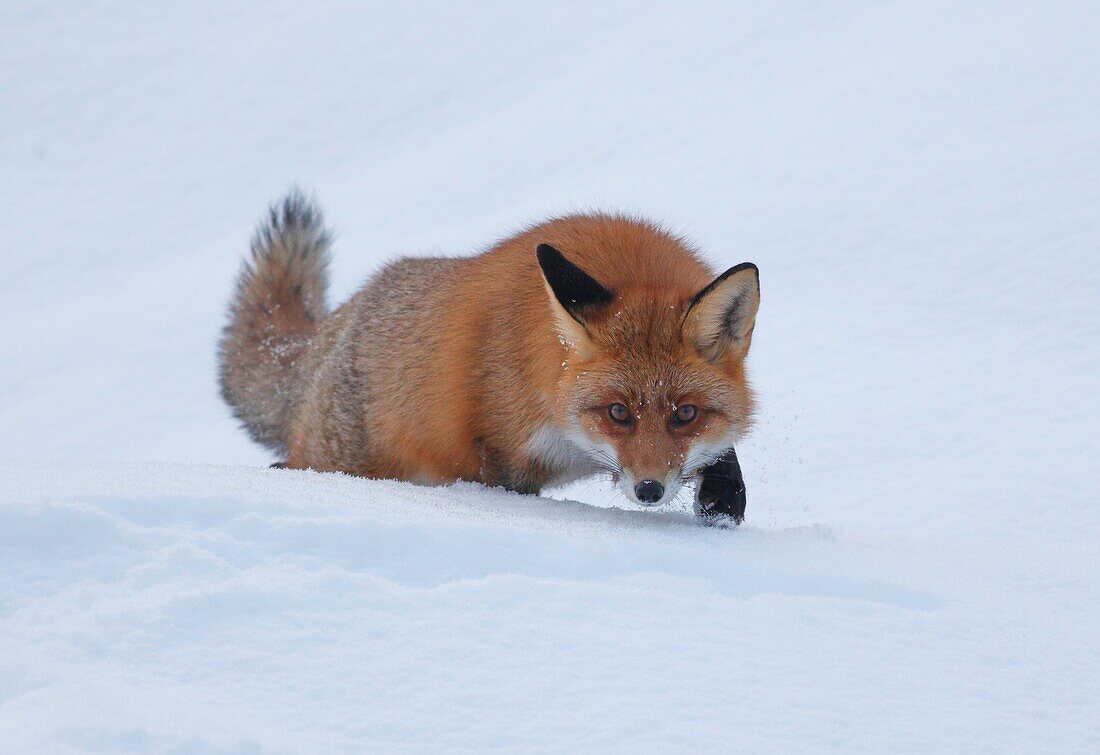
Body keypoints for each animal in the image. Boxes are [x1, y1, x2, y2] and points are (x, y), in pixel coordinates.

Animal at [218, 192, 761, 517]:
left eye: (685, 414)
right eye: (618, 413)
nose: (649, 490)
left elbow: (723, 456)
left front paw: (723, 502)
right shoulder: (499, 452)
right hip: (344, 458)